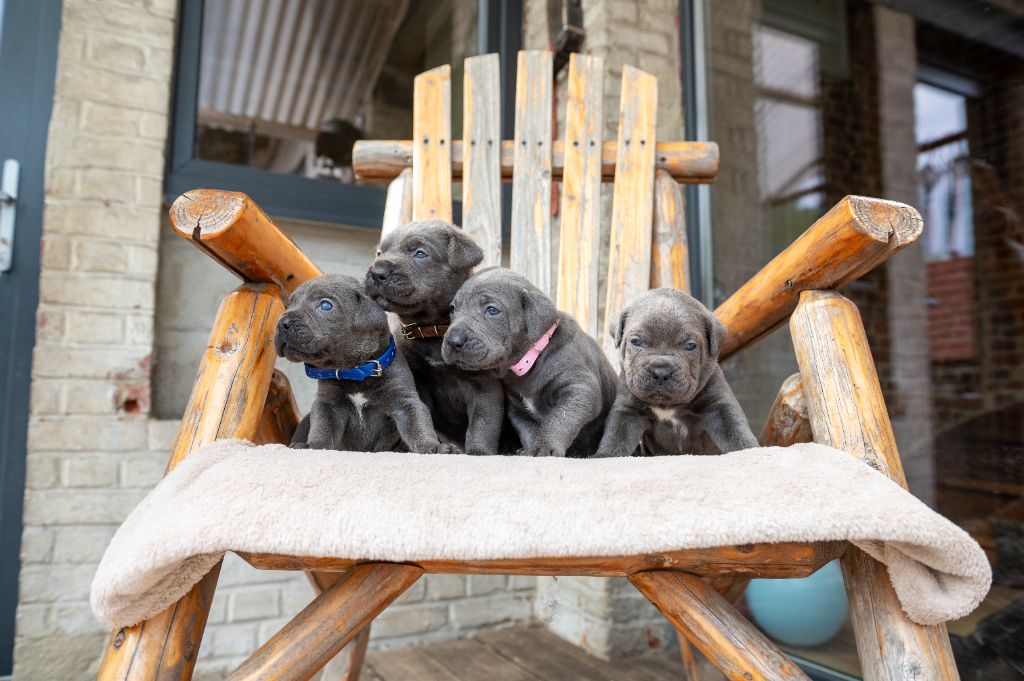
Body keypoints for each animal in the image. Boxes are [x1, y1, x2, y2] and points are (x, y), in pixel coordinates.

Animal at [272, 274, 456, 454]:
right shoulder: (327, 405)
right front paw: (313, 446)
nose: (282, 323)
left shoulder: (404, 402)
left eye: (325, 305)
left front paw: (432, 446)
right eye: (289, 305)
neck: (356, 370)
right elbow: (322, 429)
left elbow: (418, 426)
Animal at [364, 220, 507, 454]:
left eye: (420, 253)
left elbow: (482, 424)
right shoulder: (419, 382)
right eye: (379, 253)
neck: (432, 330)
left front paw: (478, 452)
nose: (377, 272)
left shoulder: (485, 387)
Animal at [442, 266, 614, 456]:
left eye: (492, 310)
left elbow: (557, 419)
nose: (453, 341)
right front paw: (530, 450)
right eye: (452, 309)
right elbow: (529, 431)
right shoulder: (518, 410)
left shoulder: (579, 389)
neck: (533, 358)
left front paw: (546, 447)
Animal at [598, 286, 757, 456]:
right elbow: (616, 436)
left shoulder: (718, 407)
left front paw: (750, 450)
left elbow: (735, 431)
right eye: (636, 342)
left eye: (690, 345)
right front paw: (605, 455)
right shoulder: (628, 412)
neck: (667, 405)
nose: (660, 371)